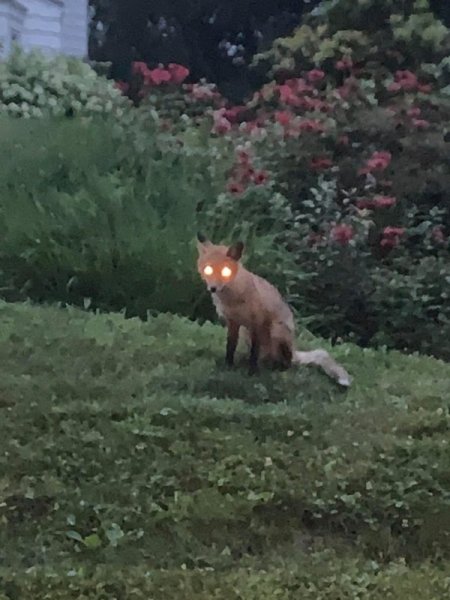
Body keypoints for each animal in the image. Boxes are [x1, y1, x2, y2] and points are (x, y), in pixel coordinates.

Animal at [197, 232, 352, 386]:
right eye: (208, 270)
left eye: (225, 272)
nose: (212, 288)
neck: (233, 299)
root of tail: (294, 348)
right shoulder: (233, 322)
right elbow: (230, 347)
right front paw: (228, 367)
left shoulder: (259, 321)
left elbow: (254, 352)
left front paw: (252, 373)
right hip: (246, 333)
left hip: (276, 331)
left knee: (287, 363)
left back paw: (278, 369)